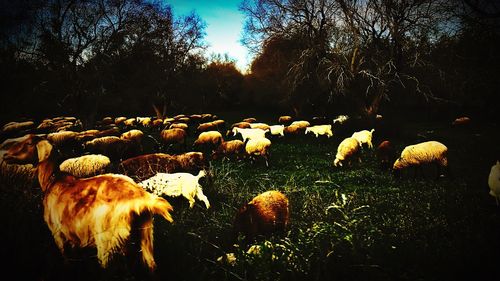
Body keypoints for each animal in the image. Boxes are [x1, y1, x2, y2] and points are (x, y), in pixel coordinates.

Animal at [2, 135, 174, 270]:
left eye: (28, 143)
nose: (5, 155)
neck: (52, 181)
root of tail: (140, 197)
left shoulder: (59, 235)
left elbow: (67, 261)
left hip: (107, 241)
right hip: (145, 236)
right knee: (150, 266)